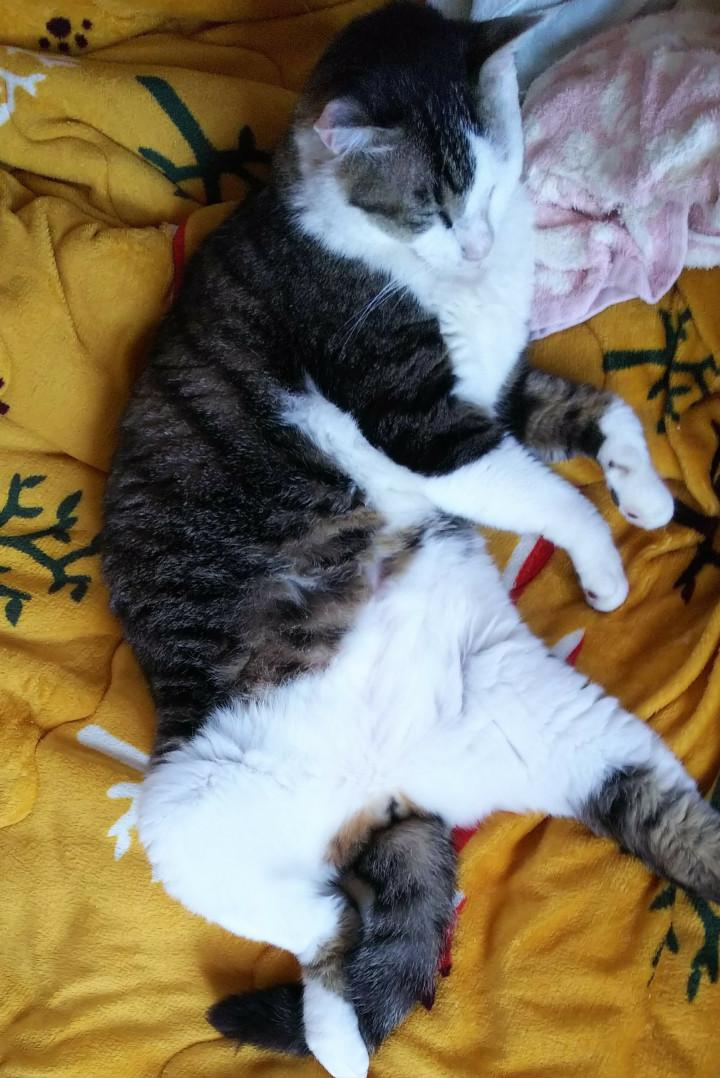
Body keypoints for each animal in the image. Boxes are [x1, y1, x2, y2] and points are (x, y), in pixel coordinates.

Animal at [102, 4, 720, 1077]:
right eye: (430, 205)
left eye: (497, 178)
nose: (476, 244)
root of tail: (386, 795)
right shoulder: (420, 423)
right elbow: (551, 495)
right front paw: (604, 557)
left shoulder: (494, 391)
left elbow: (593, 411)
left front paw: (642, 497)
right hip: (184, 812)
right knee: (324, 931)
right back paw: (339, 1039)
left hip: (569, 733)